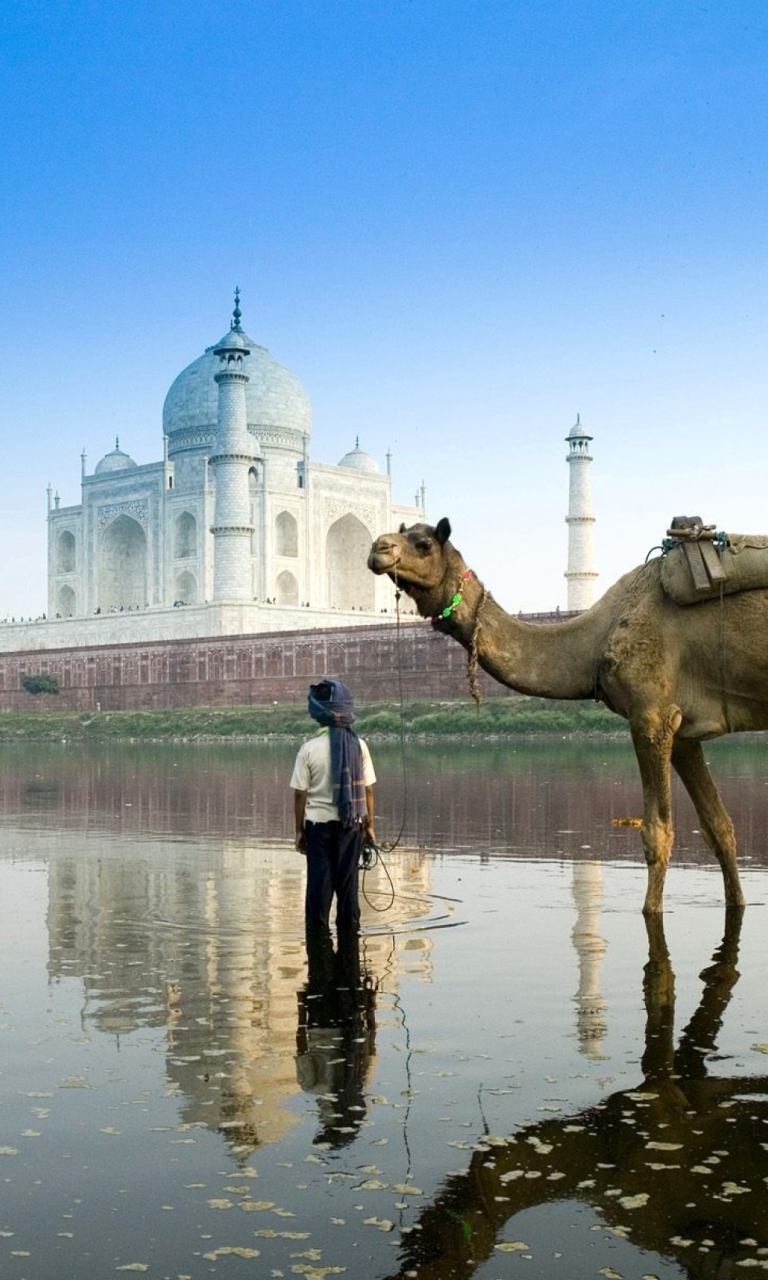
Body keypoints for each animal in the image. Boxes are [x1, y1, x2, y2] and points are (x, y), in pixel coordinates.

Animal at [368, 514, 768, 916]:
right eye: (402, 535)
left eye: (423, 544)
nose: (378, 549)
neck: (596, 637)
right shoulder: (683, 730)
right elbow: (719, 827)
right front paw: (738, 900)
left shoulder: (650, 714)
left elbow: (657, 833)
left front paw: (651, 909)